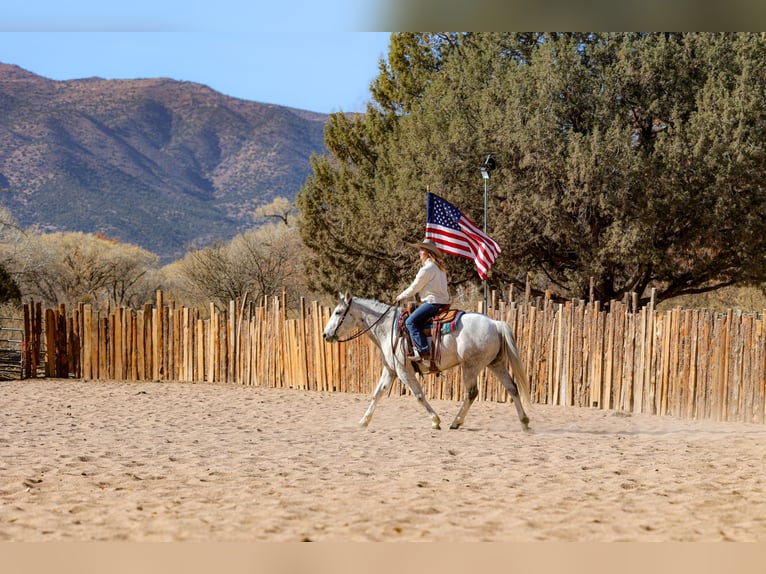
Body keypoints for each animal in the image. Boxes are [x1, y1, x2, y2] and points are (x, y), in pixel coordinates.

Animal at [320, 292, 532, 432]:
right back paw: (524, 421)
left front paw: (435, 420)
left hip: (471, 367)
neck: (387, 327)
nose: (325, 335)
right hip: (496, 364)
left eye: (338, 312)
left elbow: (419, 395)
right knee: (512, 388)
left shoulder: (404, 371)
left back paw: (456, 422)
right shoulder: (390, 370)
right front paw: (364, 421)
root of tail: (495, 323)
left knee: (472, 393)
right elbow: (377, 394)